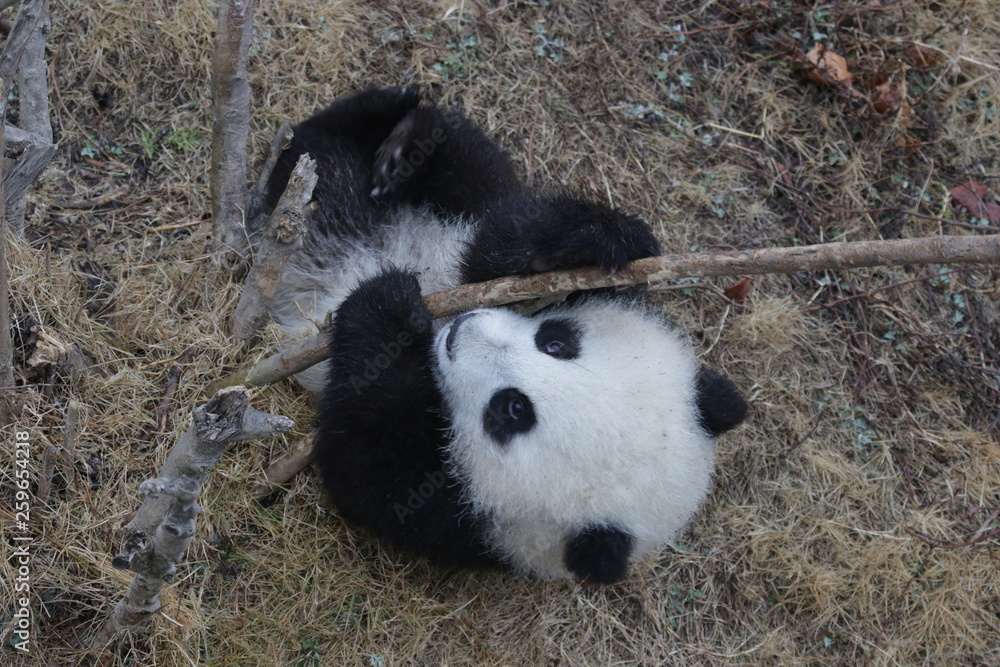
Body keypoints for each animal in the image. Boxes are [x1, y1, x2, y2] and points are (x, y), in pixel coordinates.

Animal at [265, 86, 747, 584]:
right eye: (557, 343)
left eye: (512, 410)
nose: (462, 330)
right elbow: (504, 245)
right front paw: (584, 243)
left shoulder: (458, 517)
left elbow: (365, 461)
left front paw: (387, 309)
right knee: (468, 172)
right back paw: (402, 135)